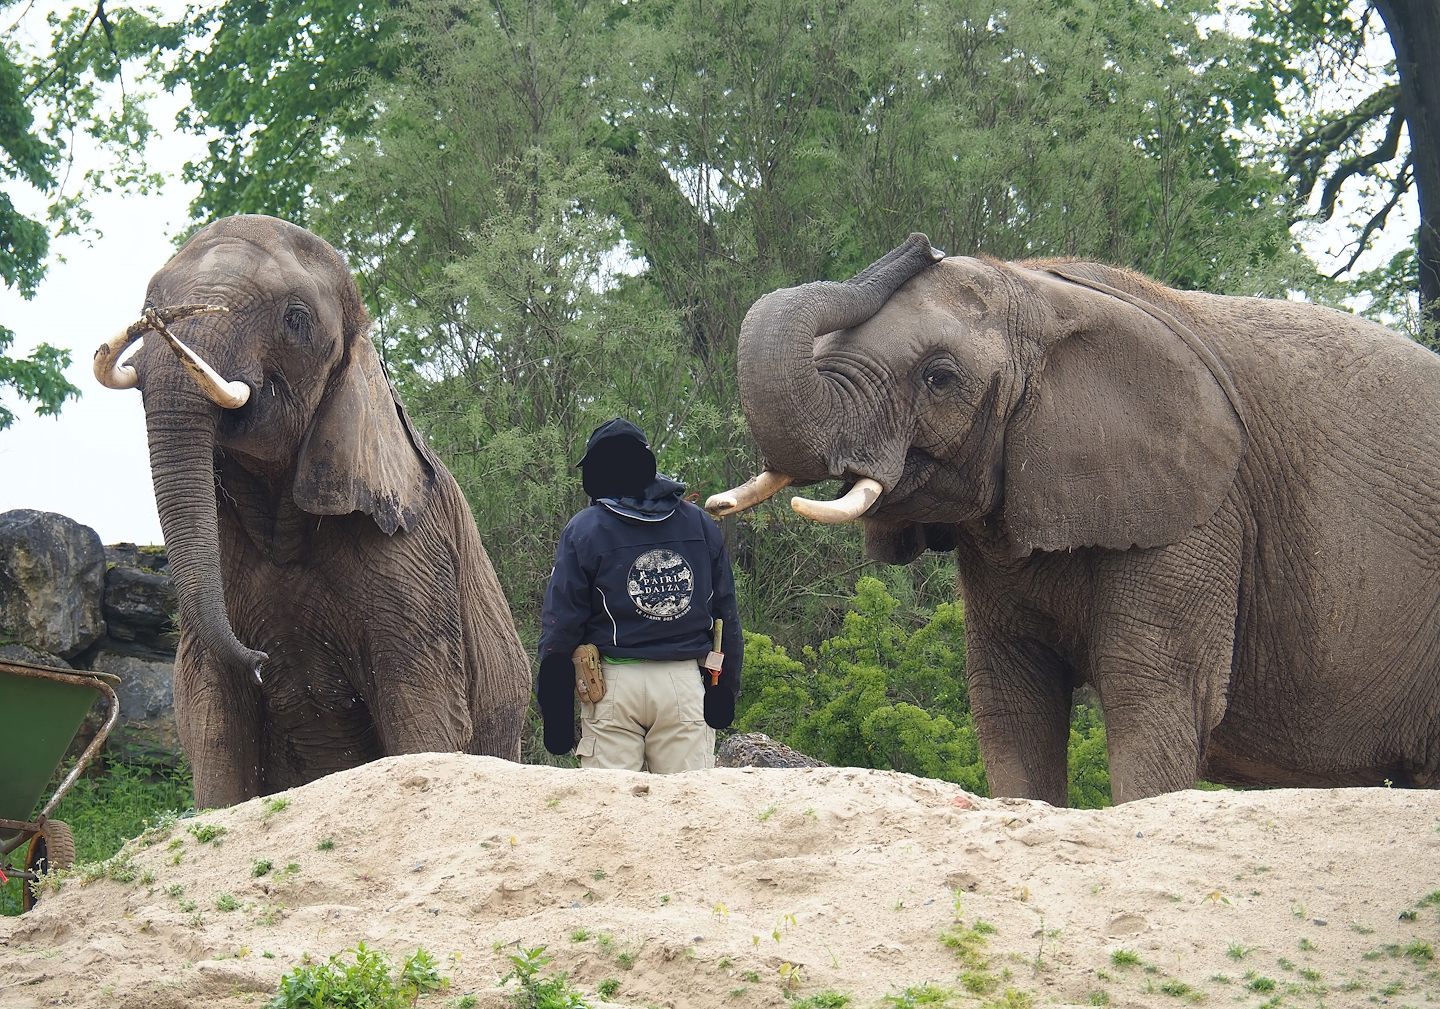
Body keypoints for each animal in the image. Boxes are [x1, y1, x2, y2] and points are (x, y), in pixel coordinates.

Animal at [93, 215, 531, 807]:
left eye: (296, 320)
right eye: (146, 306)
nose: (261, 659)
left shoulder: (415, 549)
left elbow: (423, 708)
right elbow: (210, 713)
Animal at [707, 233, 1440, 805]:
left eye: (939, 378)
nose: (922, 244)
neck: (1039, 292)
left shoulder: (1201, 507)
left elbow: (1152, 692)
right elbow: (1011, 698)